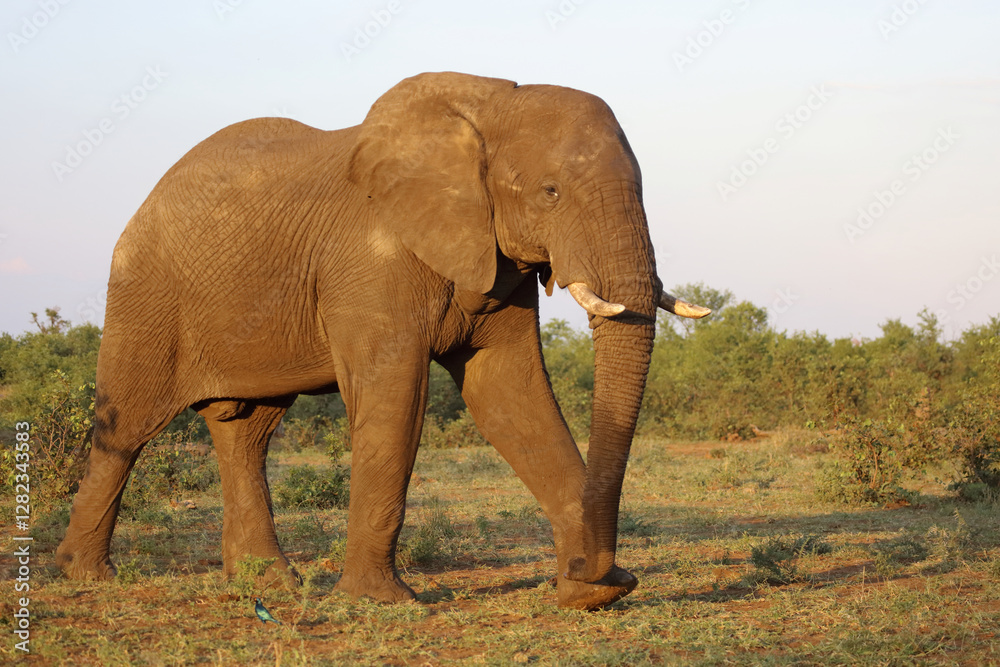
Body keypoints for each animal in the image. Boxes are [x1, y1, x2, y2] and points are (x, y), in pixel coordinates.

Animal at [55, 71, 710, 611]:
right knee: (126, 426)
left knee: (247, 433)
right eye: (550, 192)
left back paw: (270, 585)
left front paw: (593, 592)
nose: (584, 569)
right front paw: (382, 601)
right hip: (145, 294)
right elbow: (397, 396)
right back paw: (86, 576)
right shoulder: (371, 257)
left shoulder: (492, 253)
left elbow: (509, 395)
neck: (489, 103)